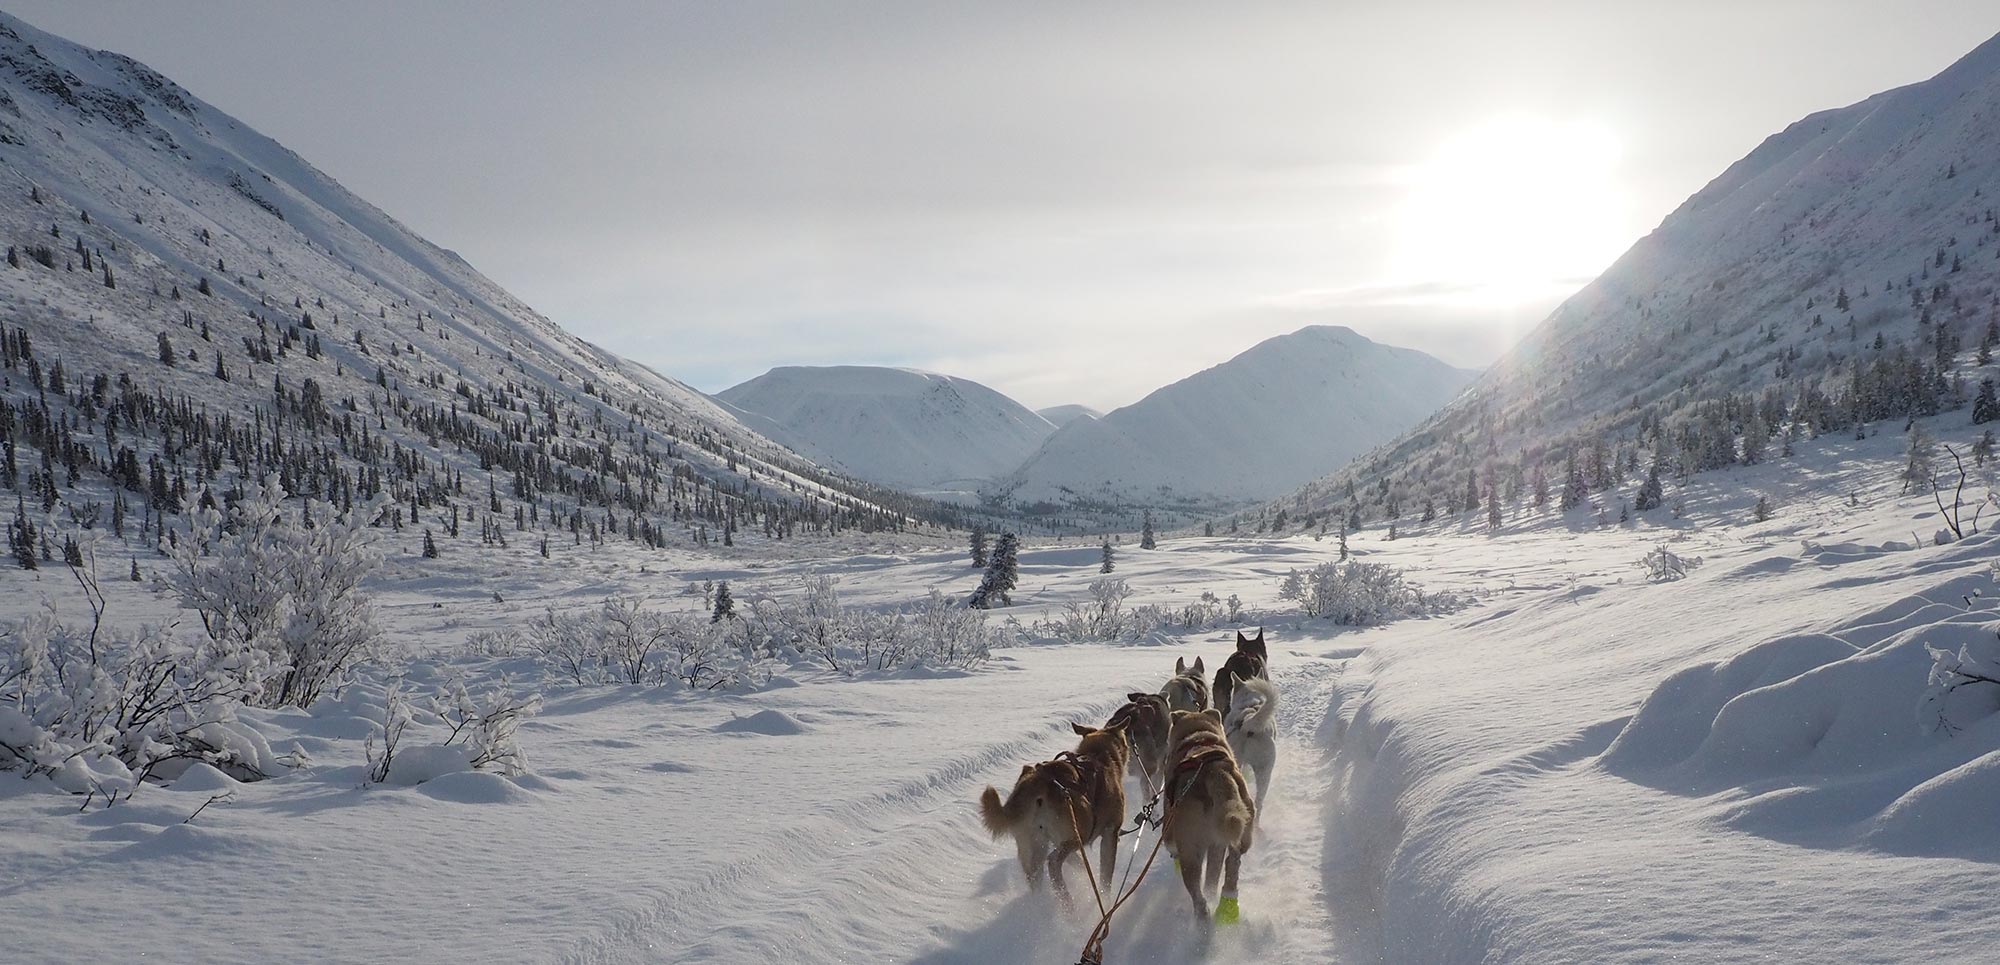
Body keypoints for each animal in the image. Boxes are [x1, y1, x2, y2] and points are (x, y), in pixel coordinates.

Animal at [980, 716, 1128, 904]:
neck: (1097, 756)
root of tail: (1036, 782)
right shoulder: (1110, 832)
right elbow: (1105, 878)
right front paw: (1105, 898)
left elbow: (1082, 866)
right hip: (1077, 834)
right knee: (1053, 861)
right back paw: (1066, 902)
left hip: (1034, 848)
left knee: (1037, 875)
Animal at [1160, 708, 1248, 920]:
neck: (1198, 738)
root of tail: (1213, 773)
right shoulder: (1217, 845)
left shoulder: (1169, 826)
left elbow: (1170, 844)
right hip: (1238, 830)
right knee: (1229, 865)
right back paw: (1226, 903)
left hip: (1190, 850)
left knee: (1197, 893)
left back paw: (1203, 917)